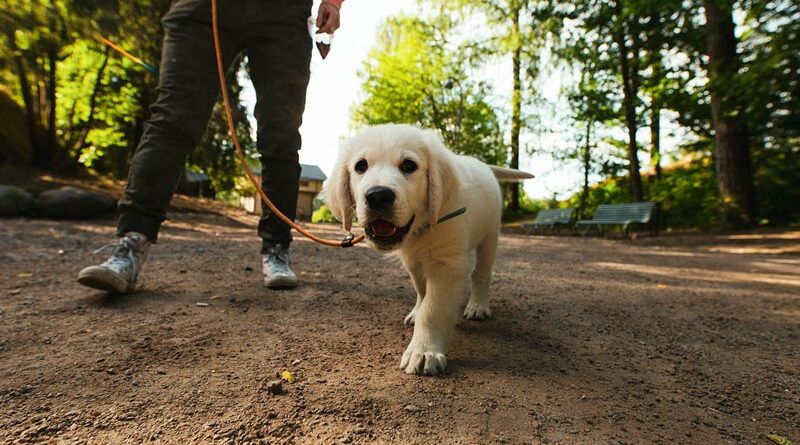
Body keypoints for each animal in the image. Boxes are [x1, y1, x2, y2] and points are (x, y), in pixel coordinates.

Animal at [322, 123, 536, 372]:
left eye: (409, 165)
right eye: (360, 166)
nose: (377, 196)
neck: (422, 227)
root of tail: (483, 165)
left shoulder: (447, 264)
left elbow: (433, 309)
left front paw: (424, 351)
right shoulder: (412, 261)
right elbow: (422, 291)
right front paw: (417, 312)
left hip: (490, 236)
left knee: (481, 274)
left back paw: (478, 306)